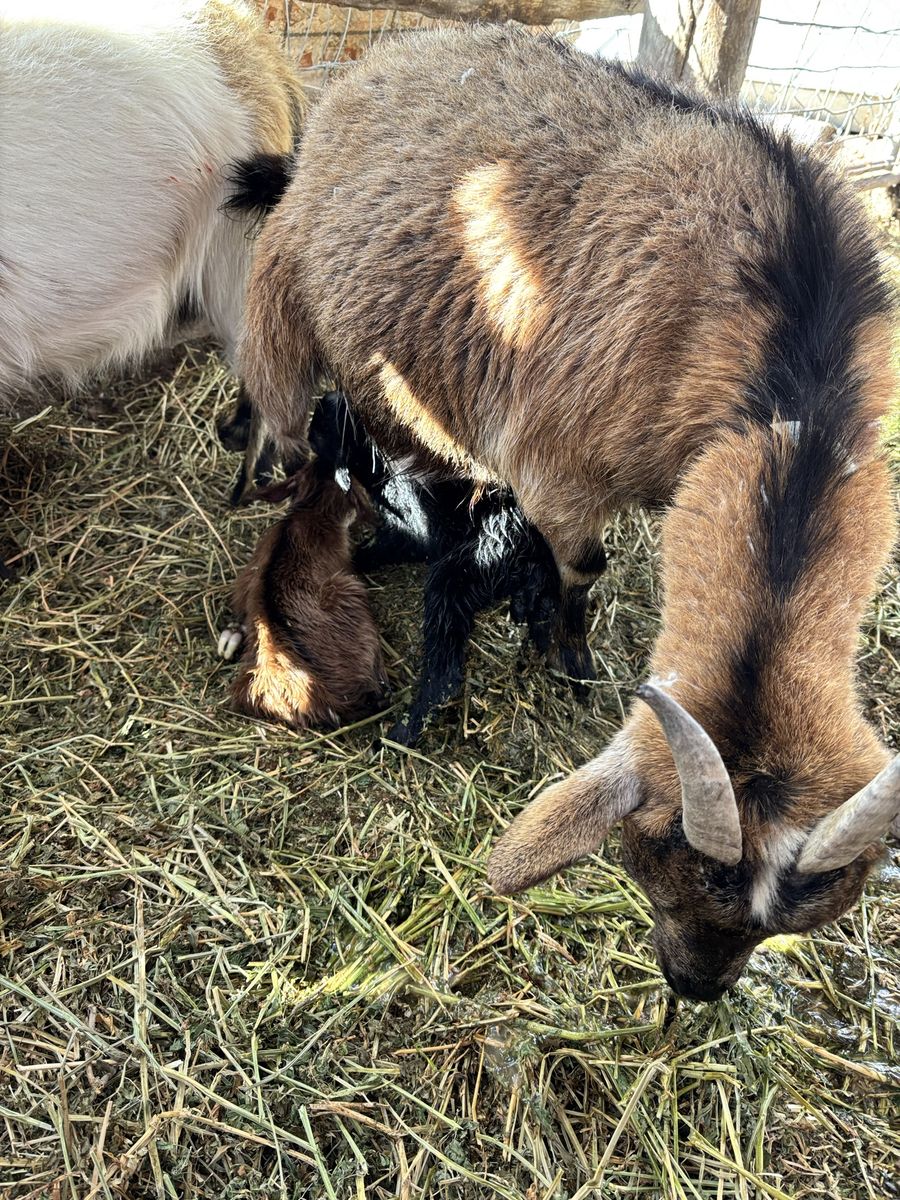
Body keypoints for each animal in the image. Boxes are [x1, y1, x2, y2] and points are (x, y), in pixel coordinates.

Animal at [303, 390, 573, 745]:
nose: (333, 396)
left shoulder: (414, 530)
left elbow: (386, 546)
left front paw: (352, 560)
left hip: (460, 571)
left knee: (445, 674)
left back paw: (405, 730)